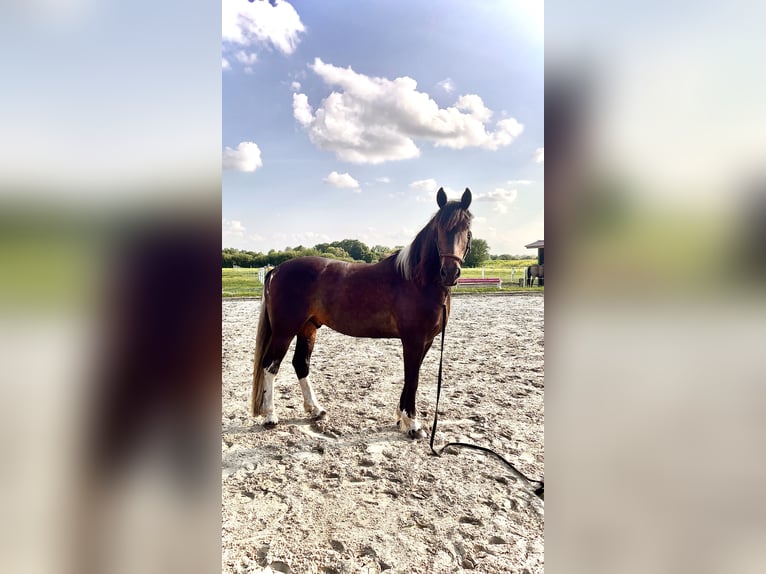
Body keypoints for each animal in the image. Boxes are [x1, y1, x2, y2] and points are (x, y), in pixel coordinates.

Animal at [251, 187, 473, 439]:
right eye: (439, 230)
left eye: (467, 230)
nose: (450, 272)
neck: (416, 281)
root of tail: (276, 270)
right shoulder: (414, 340)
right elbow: (412, 378)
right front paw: (413, 425)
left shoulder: (426, 341)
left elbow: (410, 377)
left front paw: (401, 417)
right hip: (284, 331)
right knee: (270, 365)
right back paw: (270, 415)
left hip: (307, 328)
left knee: (300, 364)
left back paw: (316, 410)